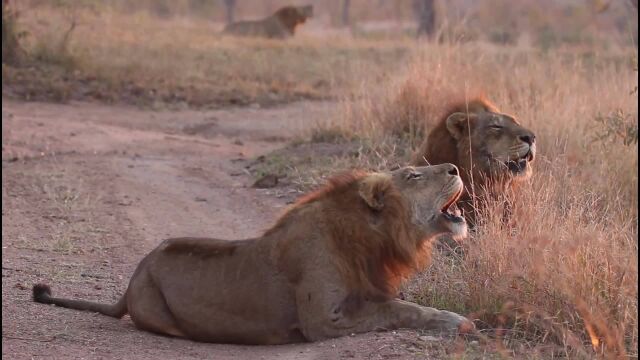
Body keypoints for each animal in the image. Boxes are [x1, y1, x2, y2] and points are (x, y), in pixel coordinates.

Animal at [33, 165, 476, 344]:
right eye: (414, 175)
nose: (455, 167)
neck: (371, 238)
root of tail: (130, 281)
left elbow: (398, 304)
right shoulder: (322, 320)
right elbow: (396, 310)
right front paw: (455, 321)